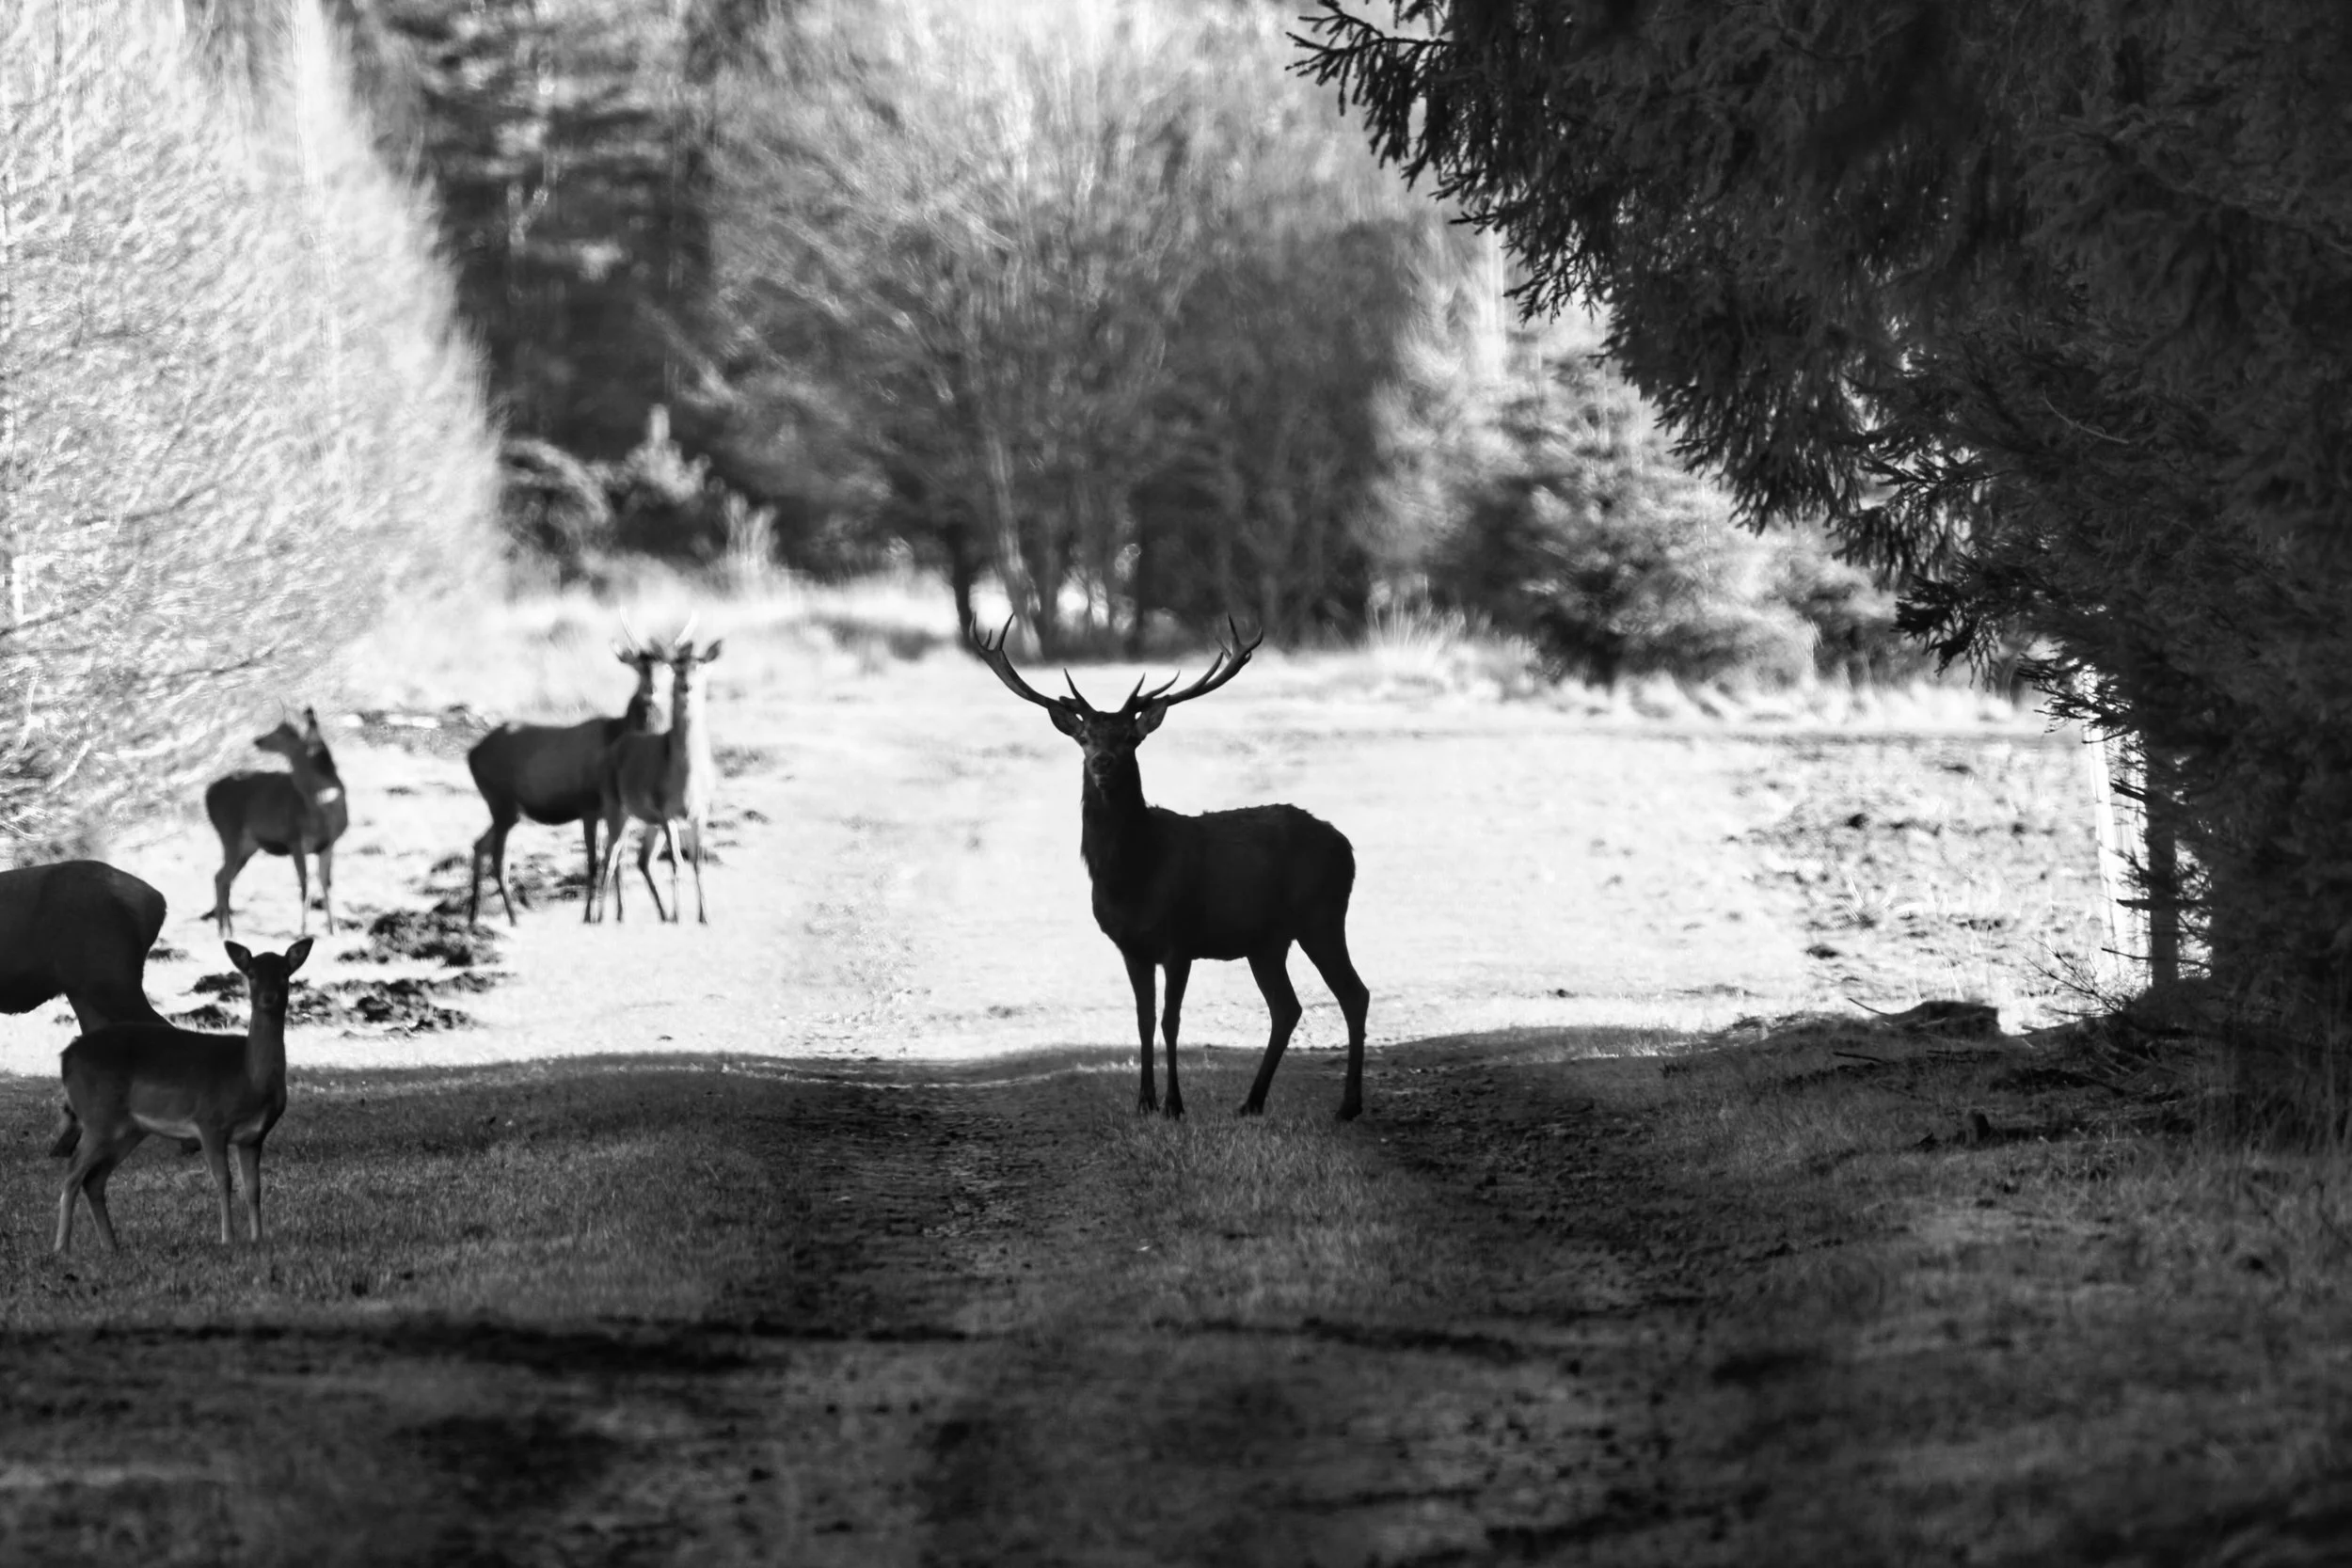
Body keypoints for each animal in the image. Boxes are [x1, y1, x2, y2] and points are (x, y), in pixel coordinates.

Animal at [54, 936, 312, 1252]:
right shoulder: (209, 1122)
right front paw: (228, 1238)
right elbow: (224, 1180)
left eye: (285, 973)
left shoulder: (253, 1137)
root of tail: (65, 1058)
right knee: (72, 1174)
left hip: (127, 1129)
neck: (248, 1078)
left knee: (93, 1179)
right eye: (251, 974)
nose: (268, 997)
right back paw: (61, 1248)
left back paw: (111, 1246)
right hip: (97, 1116)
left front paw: (258, 1238)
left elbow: (254, 1187)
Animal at [204, 709, 348, 938]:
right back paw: (225, 930)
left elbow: (327, 885)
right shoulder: (295, 840)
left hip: (248, 845)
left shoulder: (328, 844)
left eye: (284, 732)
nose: (258, 740)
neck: (320, 806)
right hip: (229, 832)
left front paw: (334, 930)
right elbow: (306, 886)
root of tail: (207, 792)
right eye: (280, 728)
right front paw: (303, 930)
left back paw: (226, 930)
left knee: (221, 877)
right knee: (222, 878)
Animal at [465, 634, 668, 926]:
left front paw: (619, 914)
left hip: (508, 809)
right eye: (638, 667)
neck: (617, 735)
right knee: (498, 858)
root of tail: (472, 753)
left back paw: (473, 915)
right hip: (500, 802)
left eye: (668, 666)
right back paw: (513, 918)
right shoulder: (589, 808)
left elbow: (617, 859)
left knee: (479, 845)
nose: (652, 691)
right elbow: (594, 862)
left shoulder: (618, 812)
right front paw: (590, 916)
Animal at [594, 634, 725, 924]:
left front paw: (704, 915)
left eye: (700, 665)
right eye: (675, 666)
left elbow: (697, 860)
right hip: (616, 808)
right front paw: (678, 915)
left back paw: (655, 913)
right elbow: (676, 860)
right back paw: (600, 916)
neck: (684, 778)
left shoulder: (700, 813)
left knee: (641, 859)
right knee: (610, 856)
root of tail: (612, 751)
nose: (686, 686)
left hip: (647, 821)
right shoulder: (667, 812)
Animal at [972, 617, 1370, 1121]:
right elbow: (1143, 1020)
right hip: (1267, 941)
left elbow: (1170, 1020)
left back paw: (1348, 1106)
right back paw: (1251, 1102)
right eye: (1085, 737)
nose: (1102, 762)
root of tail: (1347, 846)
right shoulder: (1130, 946)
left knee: (1353, 993)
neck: (1133, 877)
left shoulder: (1180, 939)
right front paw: (1144, 1101)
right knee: (1287, 1007)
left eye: (1131, 737)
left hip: (1322, 915)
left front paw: (1175, 1105)